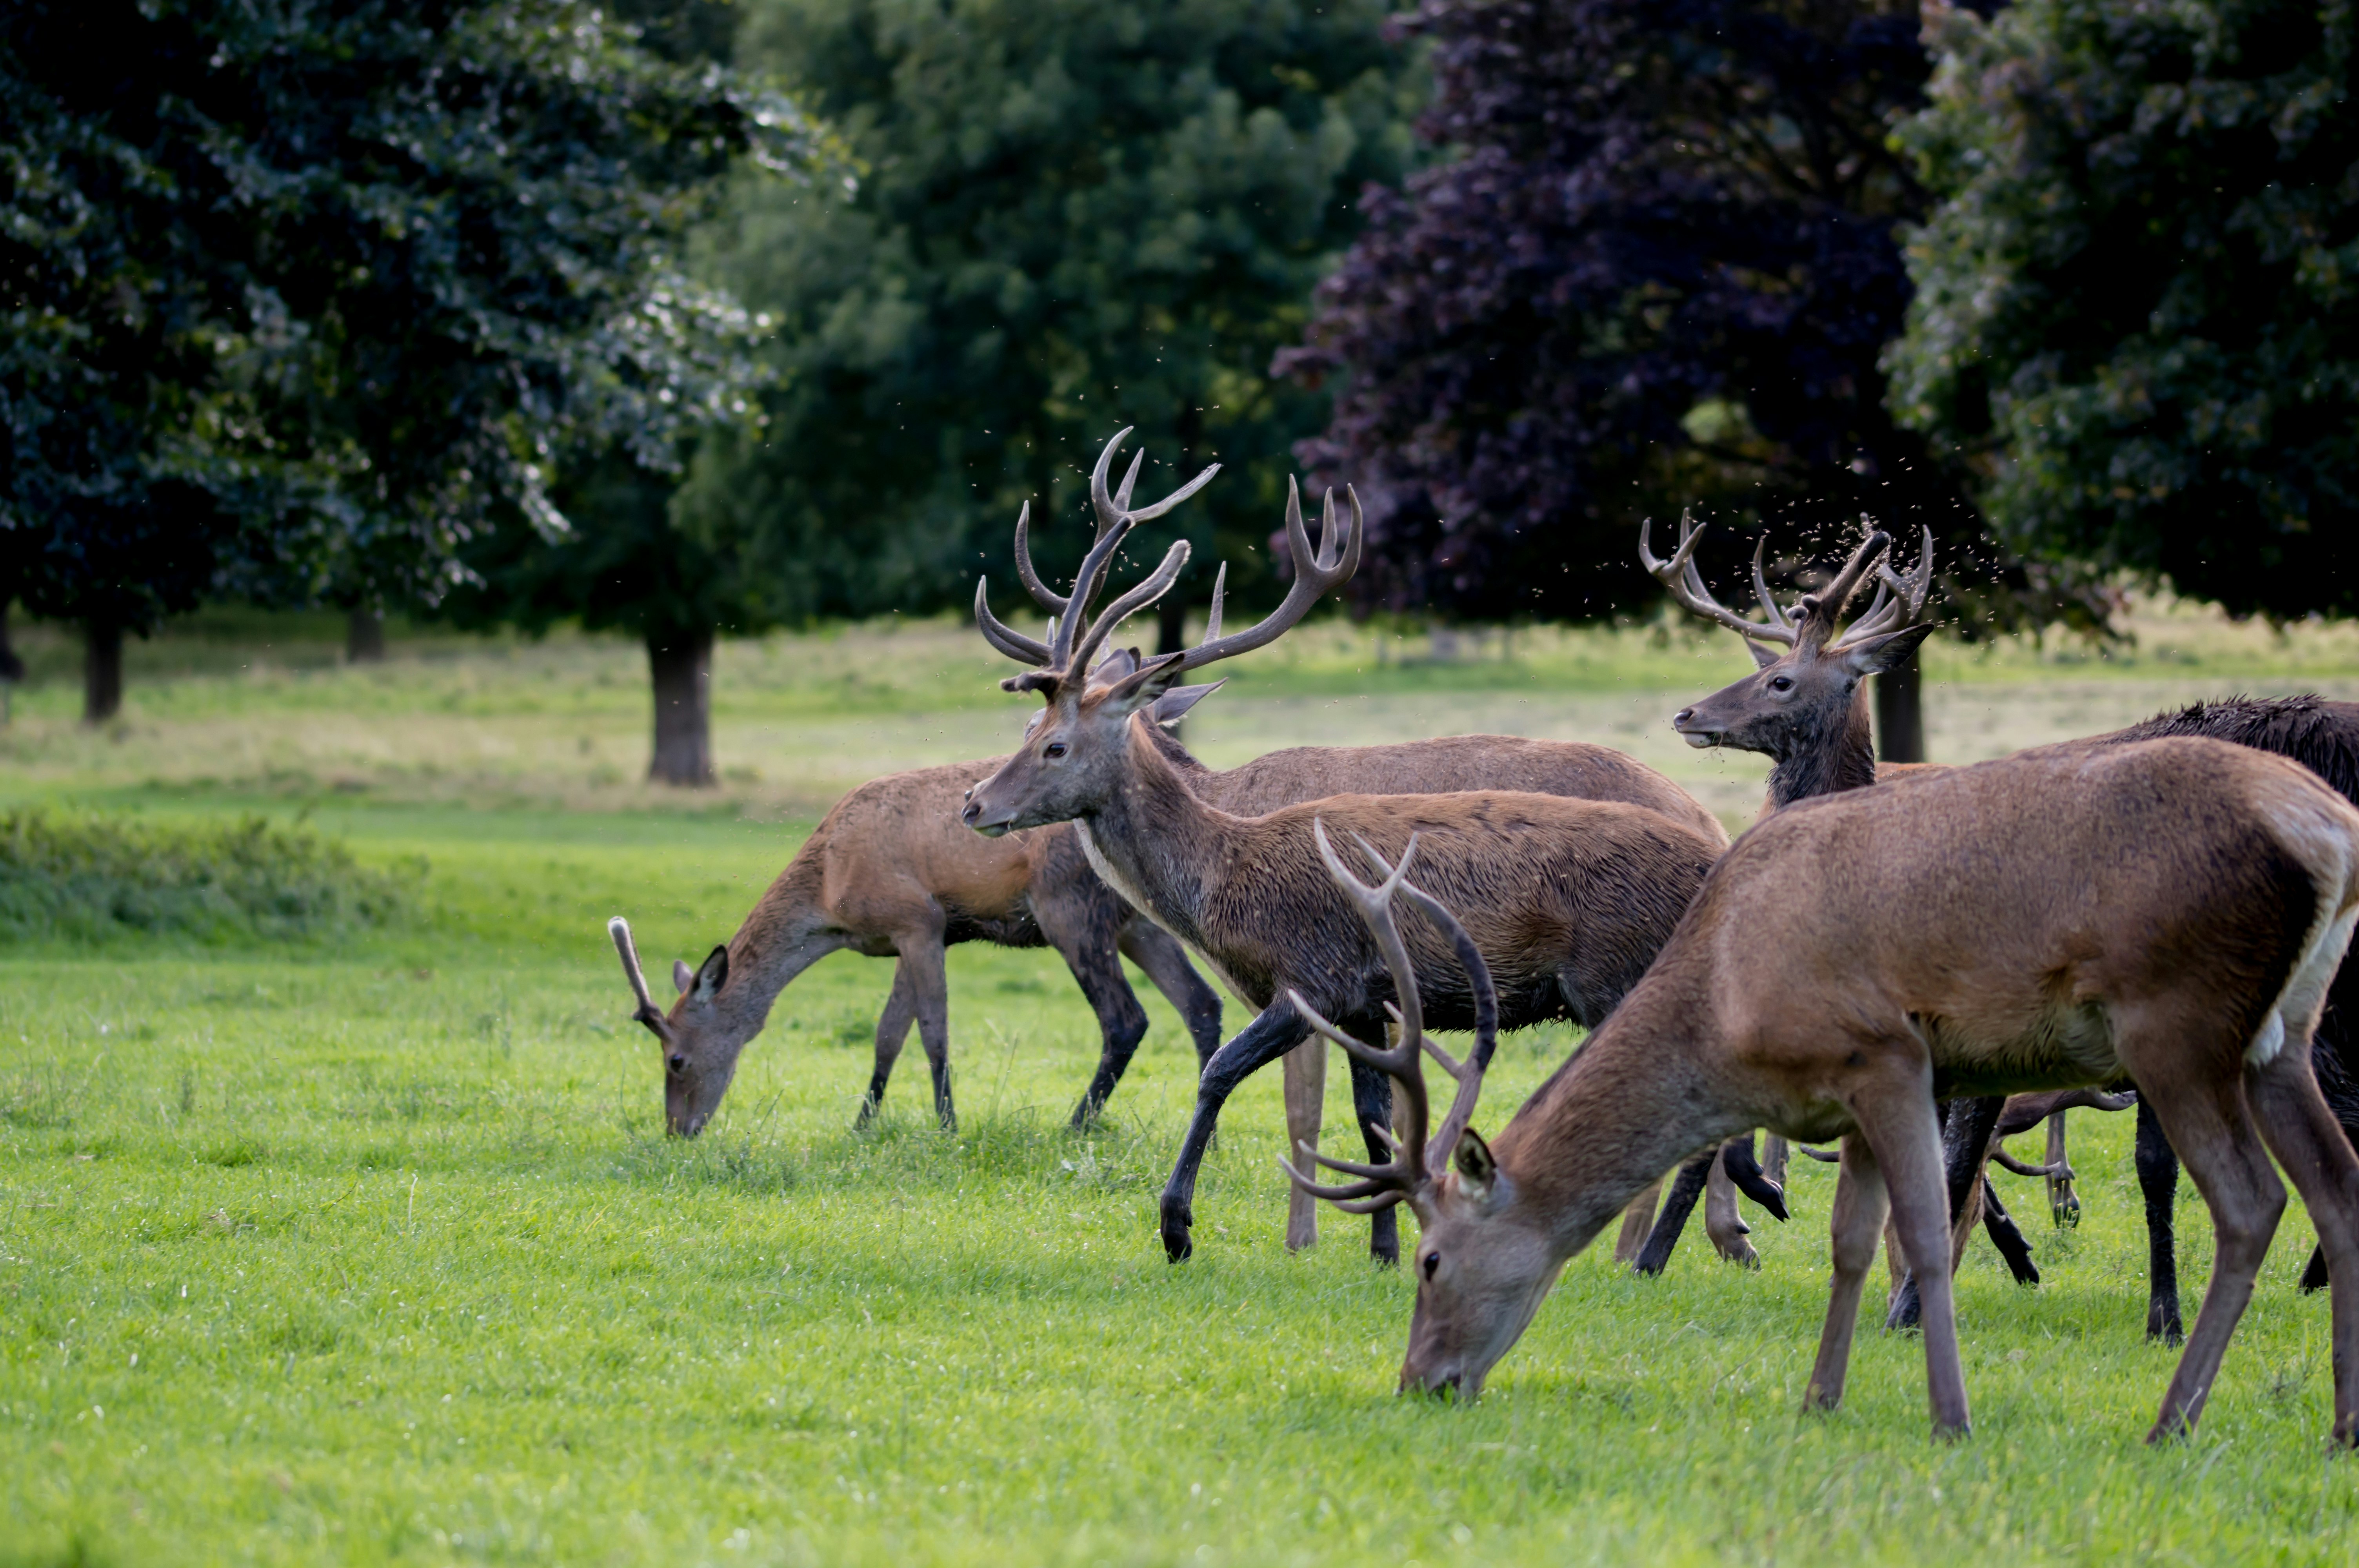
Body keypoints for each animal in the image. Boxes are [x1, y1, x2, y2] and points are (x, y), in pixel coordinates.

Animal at [967, 429, 1727, 1264]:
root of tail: (1715, 839)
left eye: (1056, 746)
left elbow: (1226, 1076)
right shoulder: (1368, 1002)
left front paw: (1178, 1226)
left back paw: (1649, 1258)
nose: (974, 804)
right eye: (1028, 729)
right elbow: (1372, 1121)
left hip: (1617, 975)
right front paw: (1385, 1250)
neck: (1222, 875)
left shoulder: (1314, 976)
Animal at [1283, 735, 2359, 1443]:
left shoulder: (1884, 1053)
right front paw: (1819, 1397)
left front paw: (1948, 1417)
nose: (1419, 1380)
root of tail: (2329, 828)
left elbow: (1922, 1234)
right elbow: (1846, 1241)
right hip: (2282, 1034)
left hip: (2176, 1018)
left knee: (2252, 1202)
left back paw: (2170, 1419)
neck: (1728, 1007)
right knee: (2336, 1185)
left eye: (1430, 1260)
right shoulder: (1841, 1100)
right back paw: (2339, 1425)